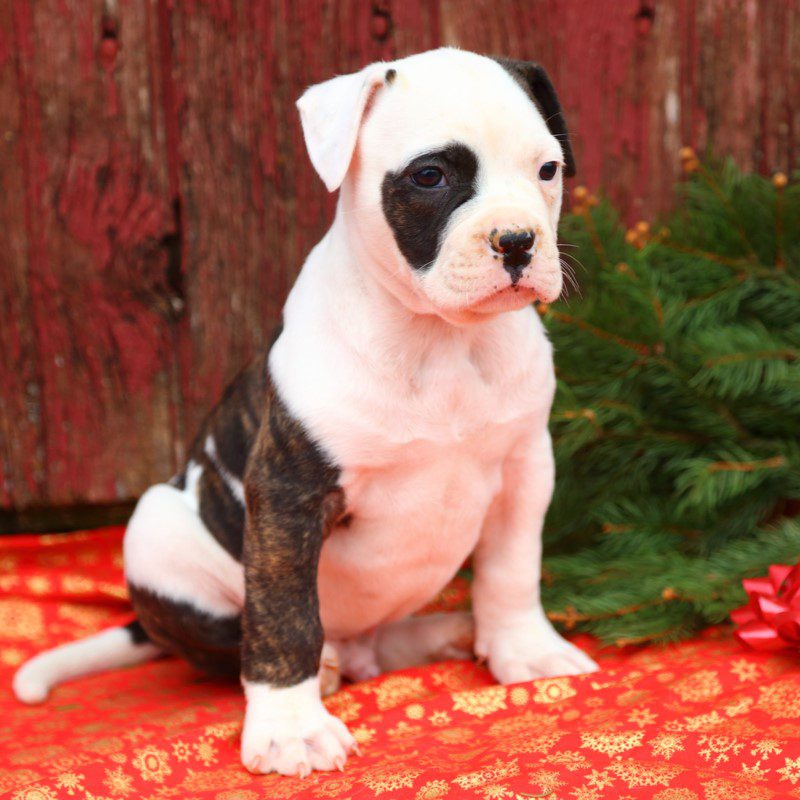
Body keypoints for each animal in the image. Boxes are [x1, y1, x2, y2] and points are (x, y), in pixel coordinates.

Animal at [15, 48, 596, 776]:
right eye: (430, 176)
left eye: (547, 170)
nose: (518, 241)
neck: (439, 339)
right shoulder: (288, 493)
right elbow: (284, 613)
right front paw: (291, 728)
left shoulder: (524, 469)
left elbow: (512, 571)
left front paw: (525, 650)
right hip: (155, 528)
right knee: (243, 643)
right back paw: (327, 669)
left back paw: (445, 633)